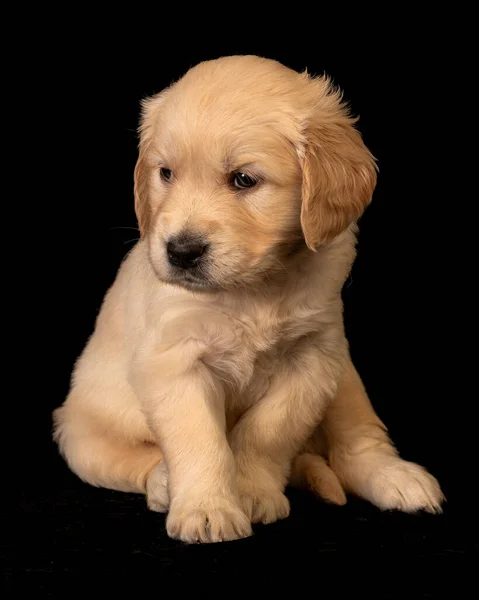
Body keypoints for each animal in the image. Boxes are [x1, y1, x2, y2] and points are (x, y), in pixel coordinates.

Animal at [51, 56, 442, 544]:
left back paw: (398, 478)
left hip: (345, 378)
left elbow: (267, 431)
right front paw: (207, 508)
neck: (254, 287)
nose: (181, 252)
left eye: (244, 179)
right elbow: (201, 440)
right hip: (80, 435)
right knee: (130, 461)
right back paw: (162, 484)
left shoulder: (312, 359)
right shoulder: (175, 360)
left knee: (358, 442)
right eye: (166, 173)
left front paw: (253, 491)